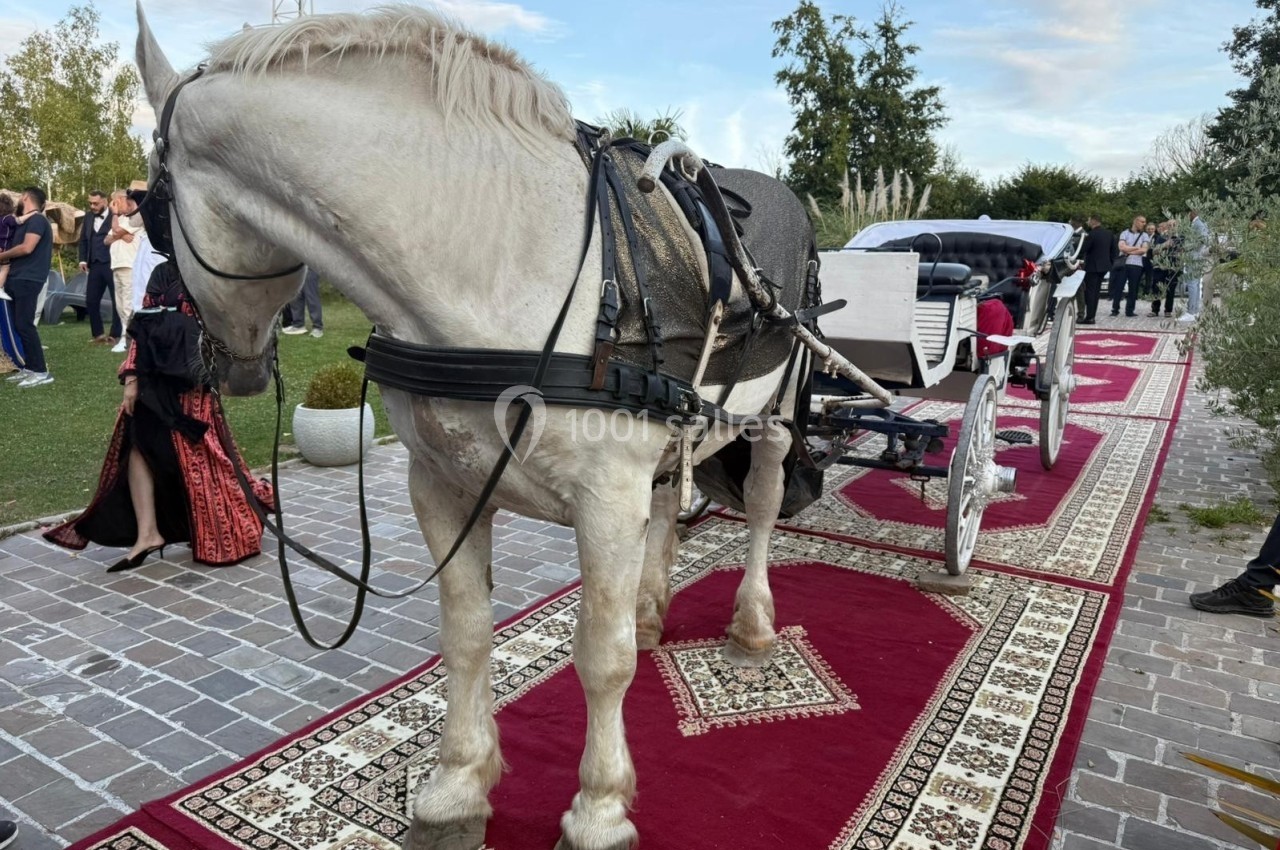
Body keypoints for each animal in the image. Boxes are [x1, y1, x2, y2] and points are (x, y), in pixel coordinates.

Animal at [135, 6, 813, 848]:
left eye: (149, 216)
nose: (221, 366)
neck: (507, 262)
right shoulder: (443, 487)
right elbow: (465, 635)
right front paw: (457, 785)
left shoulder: (605, 500)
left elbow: (602, 659)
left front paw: (598, 807)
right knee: (666, 509)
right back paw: (653, 605)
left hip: (775, 419)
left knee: (761, 507)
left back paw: (752, 623)